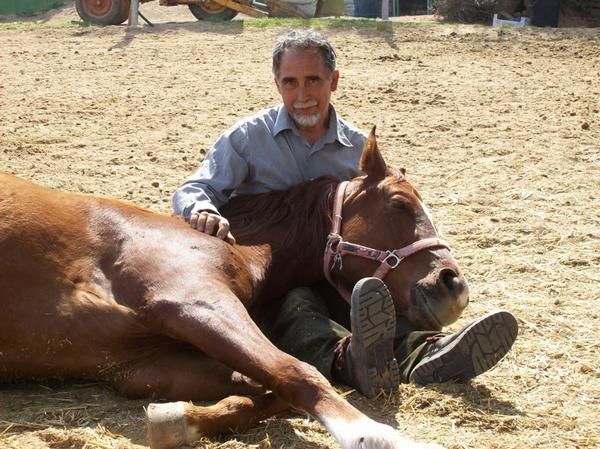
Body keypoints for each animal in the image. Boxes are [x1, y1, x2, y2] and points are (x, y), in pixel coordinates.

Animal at [0, 129, 468, 448]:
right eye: (399, 204)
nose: (453, 286)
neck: (238, 244)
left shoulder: (140, 368)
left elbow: (264, 387)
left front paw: (175, 421)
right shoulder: (195, 301)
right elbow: (297, 371)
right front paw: (378, 436)